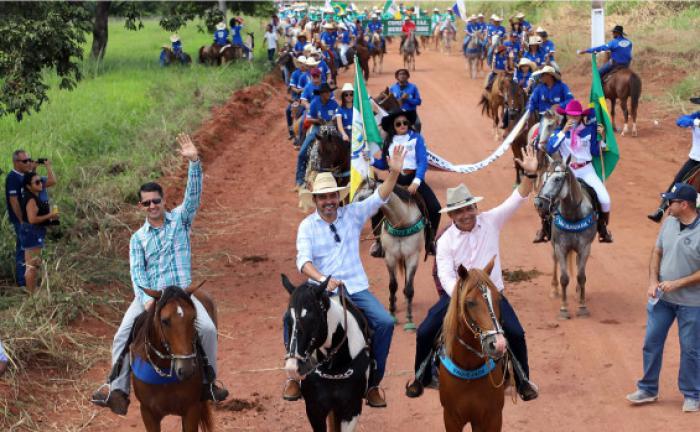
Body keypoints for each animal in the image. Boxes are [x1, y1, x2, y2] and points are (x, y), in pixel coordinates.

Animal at [284, 274, 374, 432]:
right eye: (287, 319)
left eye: (313, 319)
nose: (292, 367)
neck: (334, 367)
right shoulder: (314, 408)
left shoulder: (352, 409)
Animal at [440, 258, 506, 430]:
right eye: (469, 302)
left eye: (498, 299)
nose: (498, 344)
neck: (469, 367)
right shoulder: (450, 418)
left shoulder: (493, 417)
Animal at [536, 155, 596, 318]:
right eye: (544, 177)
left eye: (557, 179)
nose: (538, 203)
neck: (573, 215)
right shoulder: (560, 247)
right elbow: (564, 278)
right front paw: (563, 308)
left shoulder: (585, 247)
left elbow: (581, 276)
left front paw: (582, 306)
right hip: (553, 244)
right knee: (554, 260)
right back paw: (554, 289)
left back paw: (577, 291)